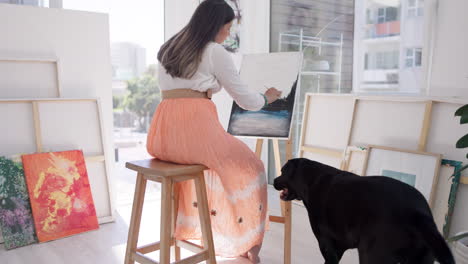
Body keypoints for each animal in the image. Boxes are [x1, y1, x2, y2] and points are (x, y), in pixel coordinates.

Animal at [272, 159, 456, 264]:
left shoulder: (327, 244)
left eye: (282, 171)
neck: (312, 180)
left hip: (371, 255)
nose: (273, 180)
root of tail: (418, 213)